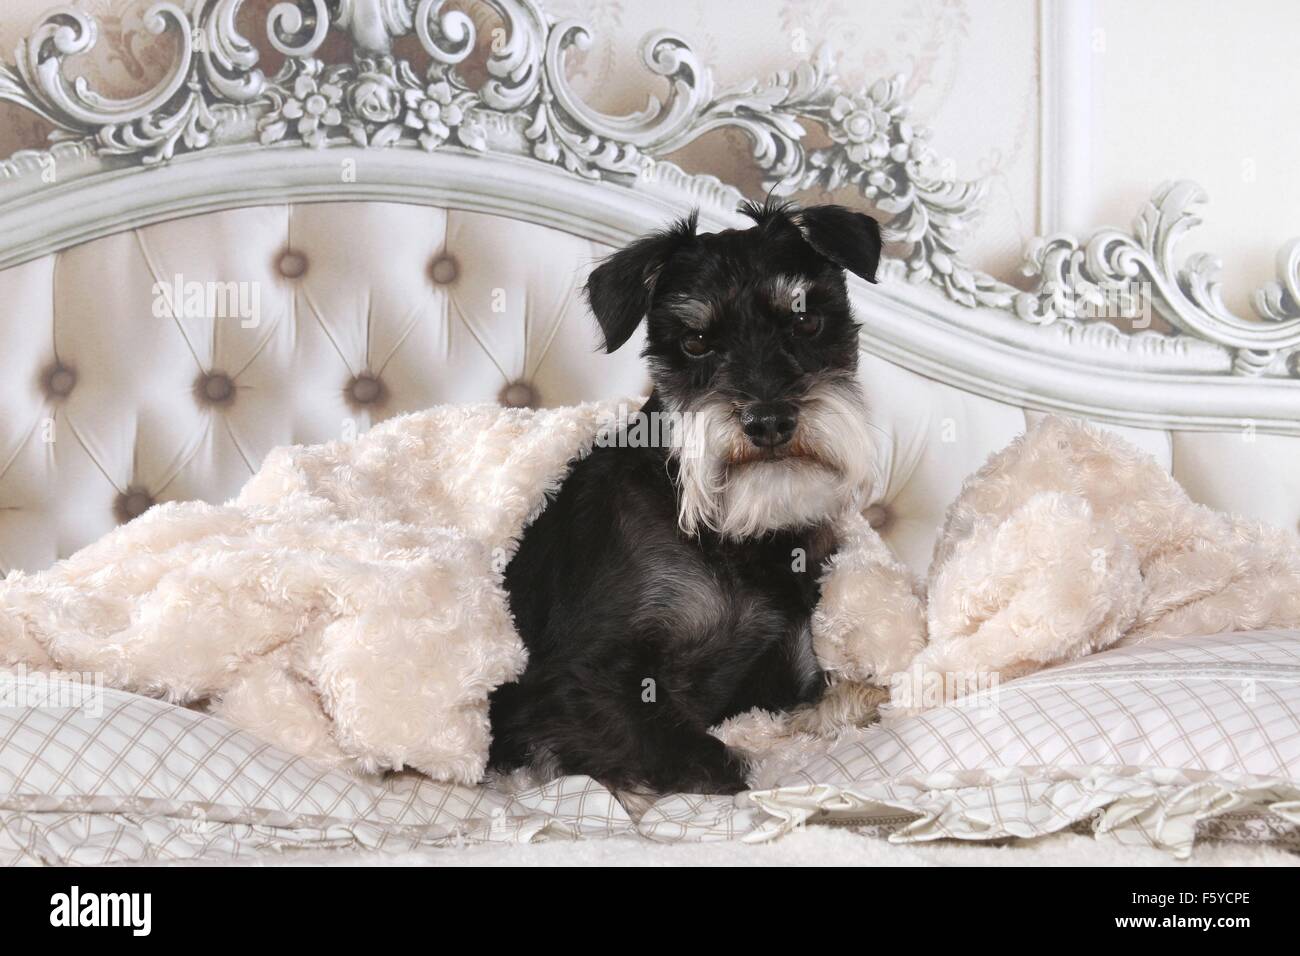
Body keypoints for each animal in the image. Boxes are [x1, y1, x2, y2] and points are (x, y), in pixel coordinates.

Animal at [488, 197, 883, 796]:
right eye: (695, 342)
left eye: (806, 319)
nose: (768, 421)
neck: (734, 540)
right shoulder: (576, 681)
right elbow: (716, 759)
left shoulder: (784, 666)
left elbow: (811, 704)